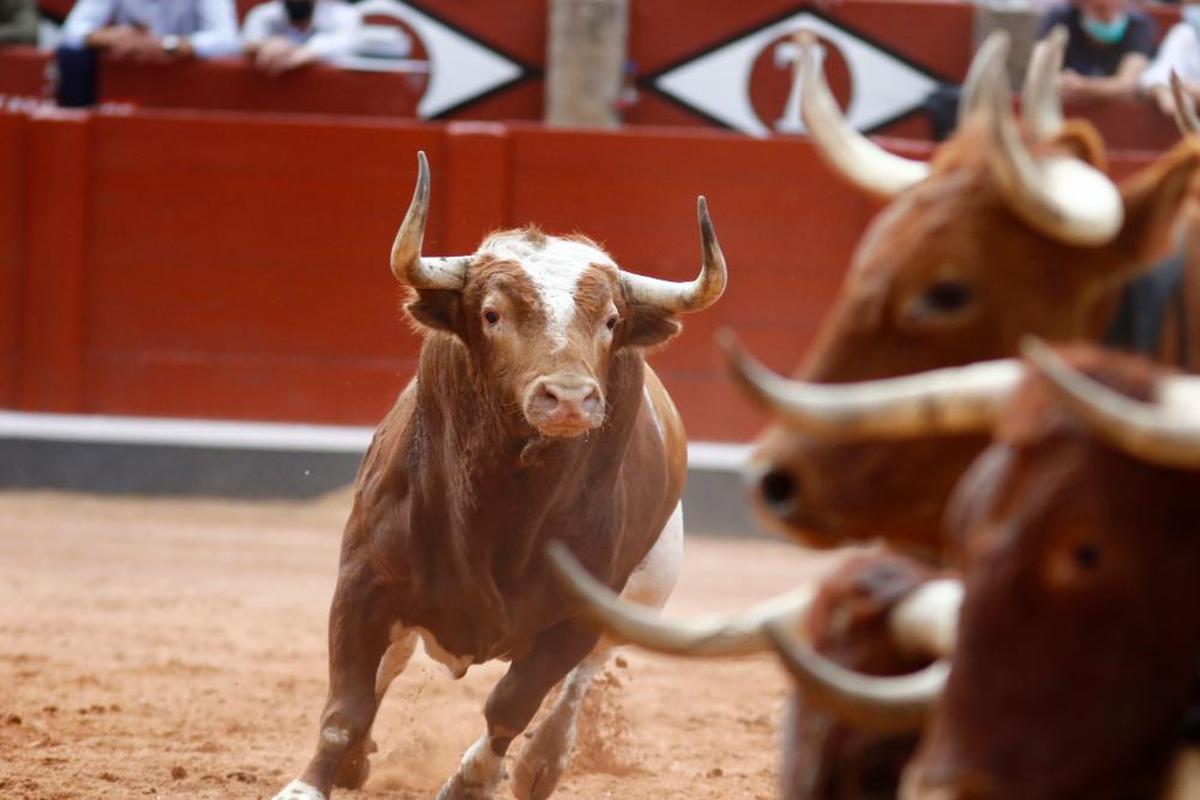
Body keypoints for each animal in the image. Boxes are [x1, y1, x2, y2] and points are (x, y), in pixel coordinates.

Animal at [271, 151, 720, 800]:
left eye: (612, 319)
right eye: (491, 314)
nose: (569, 398)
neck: (505, 503)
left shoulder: (577, 617)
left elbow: (511, 706)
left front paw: (473, 781)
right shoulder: (363, 580)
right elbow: (345, 706)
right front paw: (315, 779)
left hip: (643, 593)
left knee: (582, 677)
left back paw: (542, 764)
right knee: (394, 660)